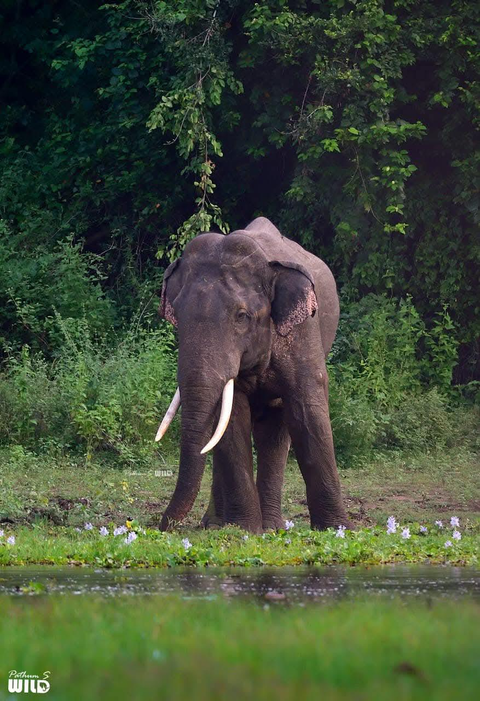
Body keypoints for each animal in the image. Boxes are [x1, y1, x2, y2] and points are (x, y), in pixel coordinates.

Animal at [156, 217, 351, 533]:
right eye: (177, 316)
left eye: (242, 316)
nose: (162, 526)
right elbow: (232, 419)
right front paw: (244, 530)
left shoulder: (303, 331)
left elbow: (308, 410)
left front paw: (339, 530)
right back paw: (219, 524)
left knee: (274, 432)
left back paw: (270, 526)